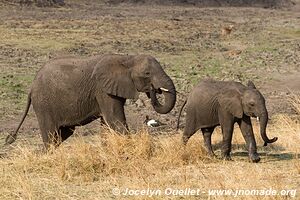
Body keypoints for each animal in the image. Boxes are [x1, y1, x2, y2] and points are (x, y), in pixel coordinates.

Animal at [5, 54, 176, 148]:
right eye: (147, 73)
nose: (154, 89)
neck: (127, 59)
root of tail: (31, 87)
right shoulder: (102, 90)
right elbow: (116, 121)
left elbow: (107, 124)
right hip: (44, 104)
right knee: (51, 135)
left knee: (61, 135)